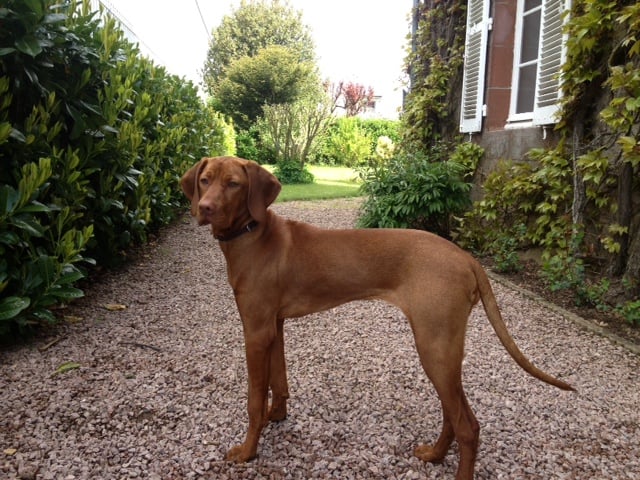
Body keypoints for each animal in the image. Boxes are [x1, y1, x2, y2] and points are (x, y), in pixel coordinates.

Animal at [180, 156, 574, 480]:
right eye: (205, 180)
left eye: (234, 183)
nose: (205, 208)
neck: (253, 234)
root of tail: (465, 256)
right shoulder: (274, 325)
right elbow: (279, 379)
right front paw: (276, 417)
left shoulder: (256, 330)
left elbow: (253, 398)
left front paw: (248, 451)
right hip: (445, 348)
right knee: (456, 413)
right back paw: (434, 454)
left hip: (433, 345)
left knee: (468, 426)